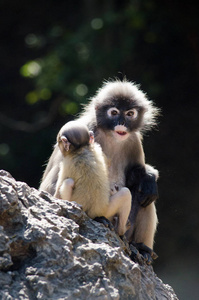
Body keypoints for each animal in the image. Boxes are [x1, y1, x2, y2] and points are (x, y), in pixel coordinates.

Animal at [39, 79, 159, 262]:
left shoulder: (133, 140)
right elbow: (49, 188)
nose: (122, 123)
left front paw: (149, 176)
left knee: (146, 197)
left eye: (130, 114)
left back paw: (142, 248)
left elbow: (139, 172)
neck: (111, 136)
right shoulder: (87, 128)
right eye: (114, 112)